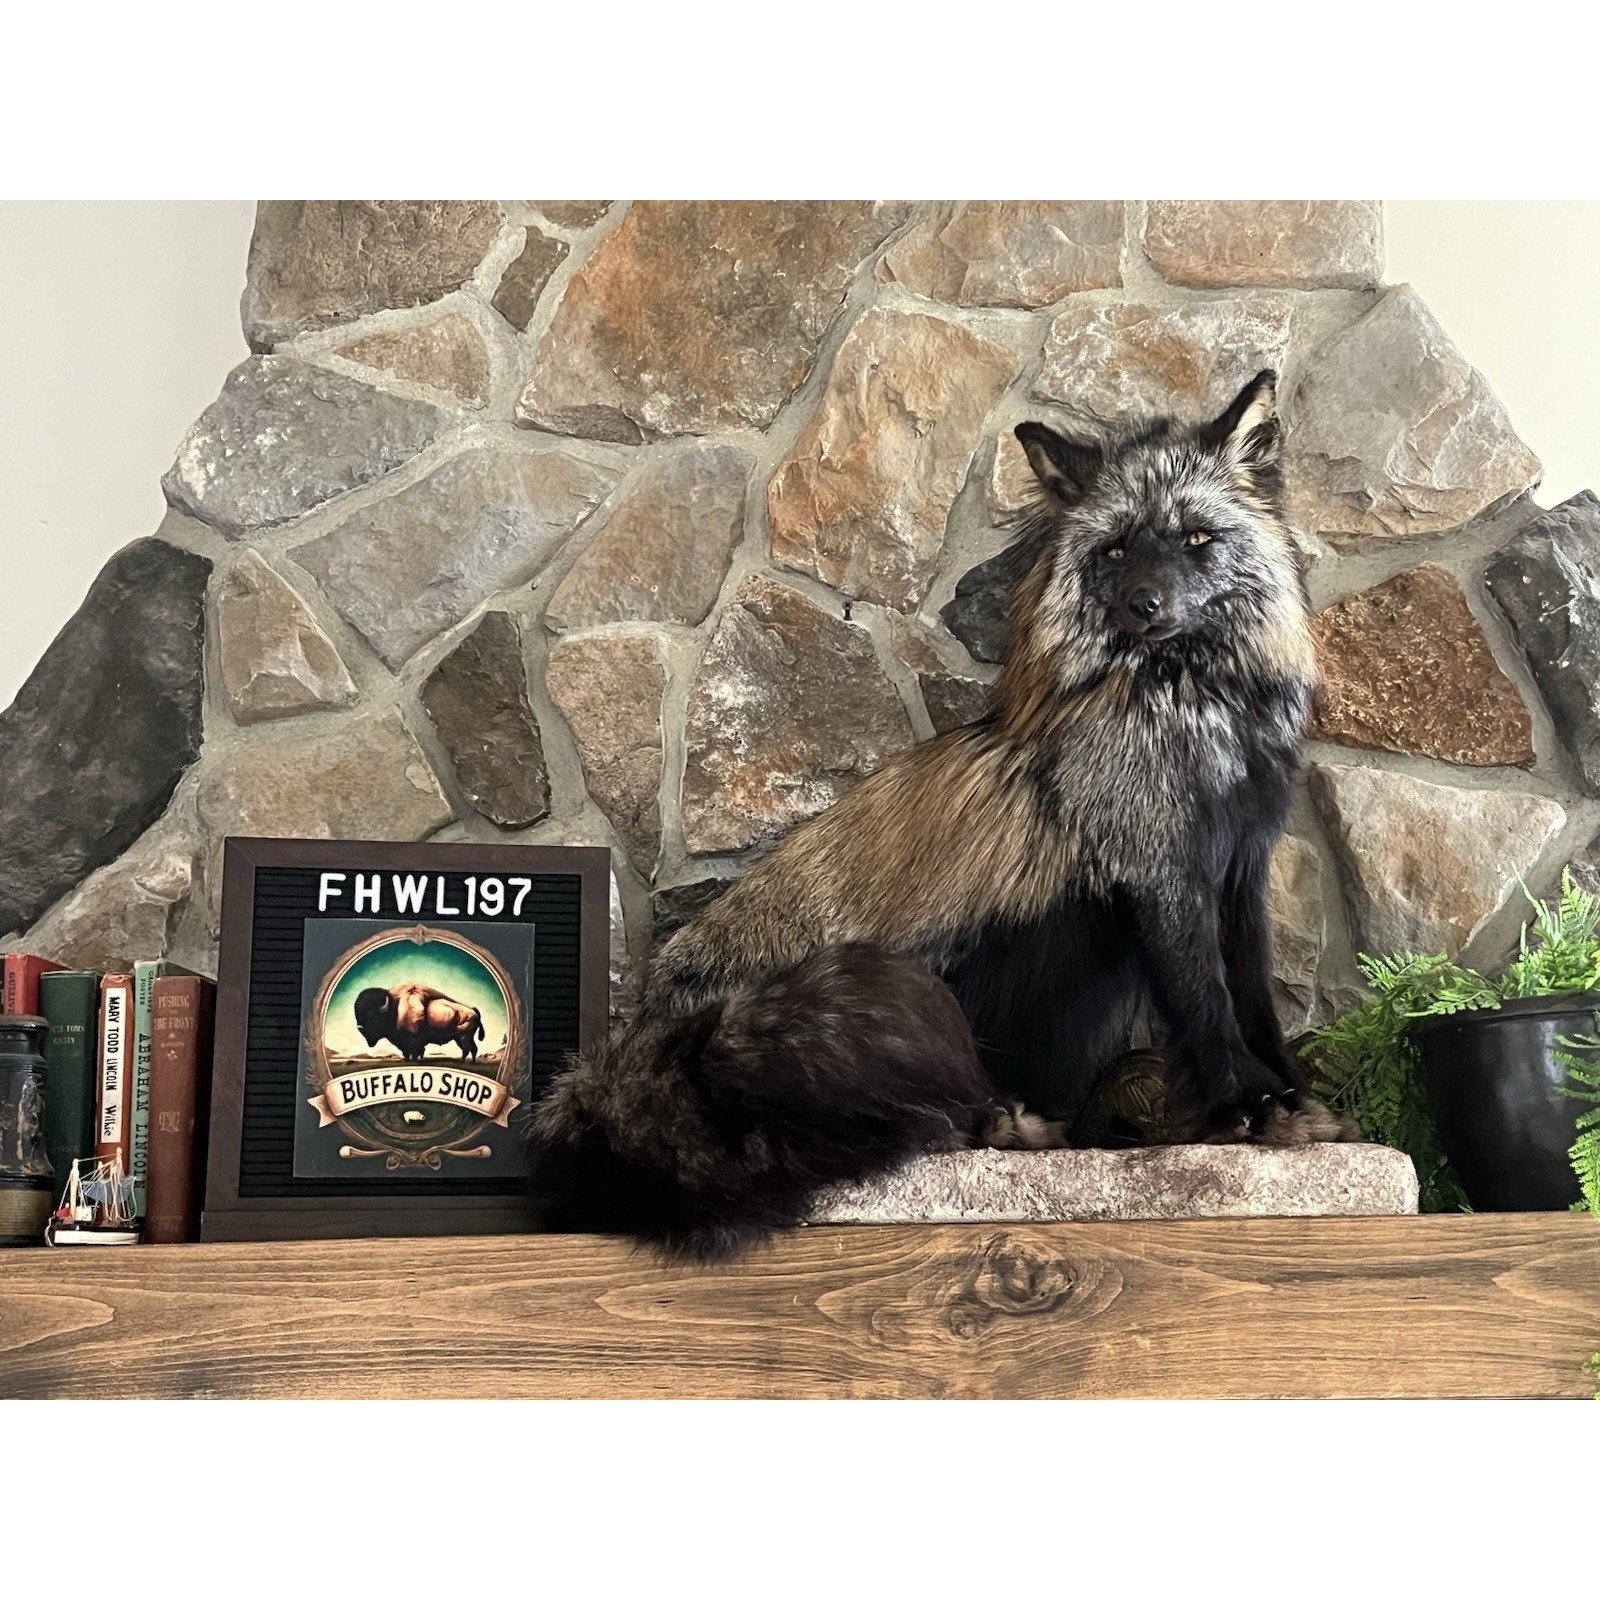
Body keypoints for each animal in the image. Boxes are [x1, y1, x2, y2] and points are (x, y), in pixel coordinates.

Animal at [530, 370, 1352, 1259]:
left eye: (1196, 537)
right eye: (1117, 550)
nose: (1145, 602)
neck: (1202, 715)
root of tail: (638, 1039)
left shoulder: (1239, 866)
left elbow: (1255, 998)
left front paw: (1293, 1095)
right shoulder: (1161, 869)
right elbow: (1208, 1003)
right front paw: (1246, 1104)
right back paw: (994, 1121)